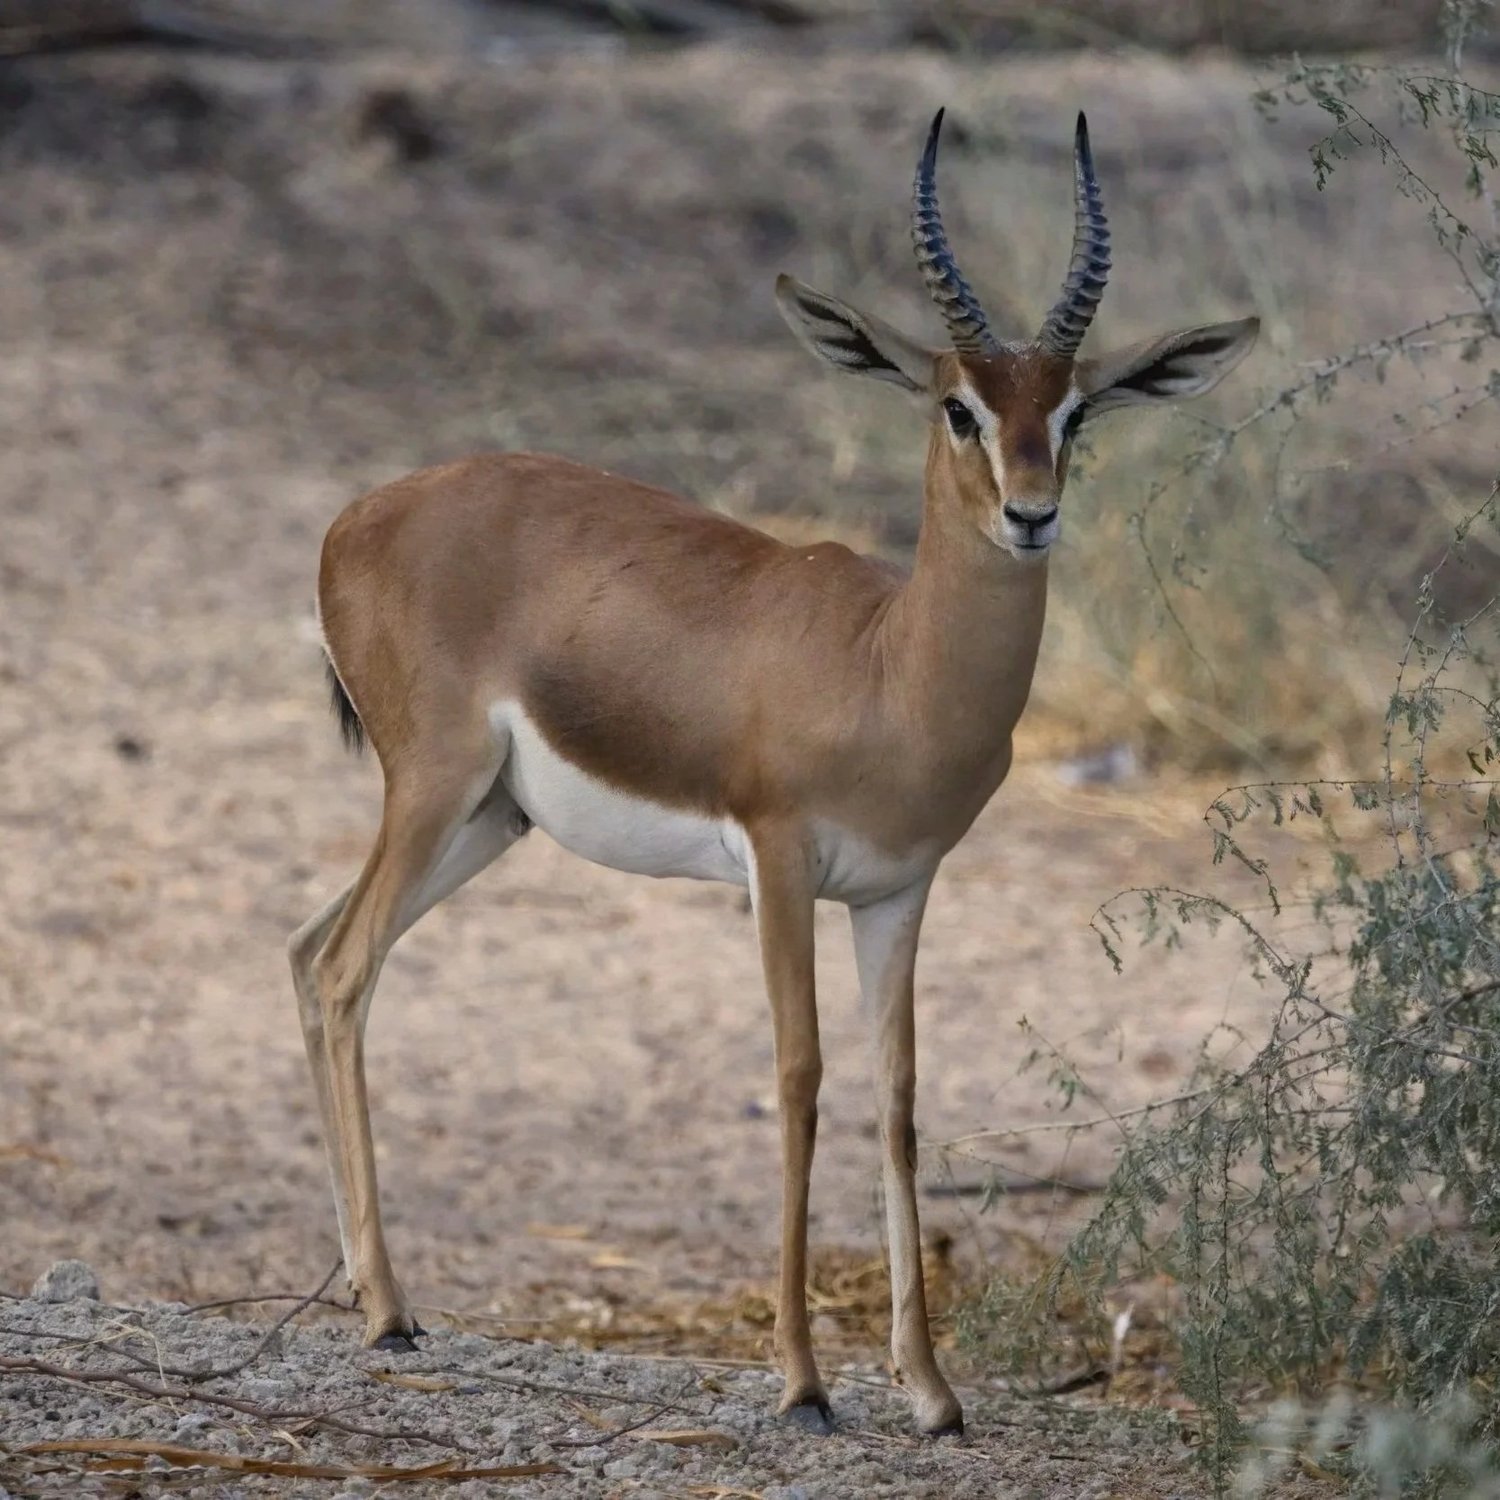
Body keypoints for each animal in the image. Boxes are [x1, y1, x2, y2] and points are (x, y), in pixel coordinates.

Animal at [287, 109, 1257, 1436]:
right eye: (957, 406)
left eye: (1074, 414)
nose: (1031, 514)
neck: (889, 668)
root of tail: (355, 518)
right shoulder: (780, 862)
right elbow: (799, 1079)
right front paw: (803, 1382)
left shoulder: (898, 890)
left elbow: (898, 1100)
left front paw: (931, 1392)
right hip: (434, 788)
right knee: (343, 971)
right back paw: (387, 1312)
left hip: (489, 819)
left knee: (308, 951)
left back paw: (362, 1293)